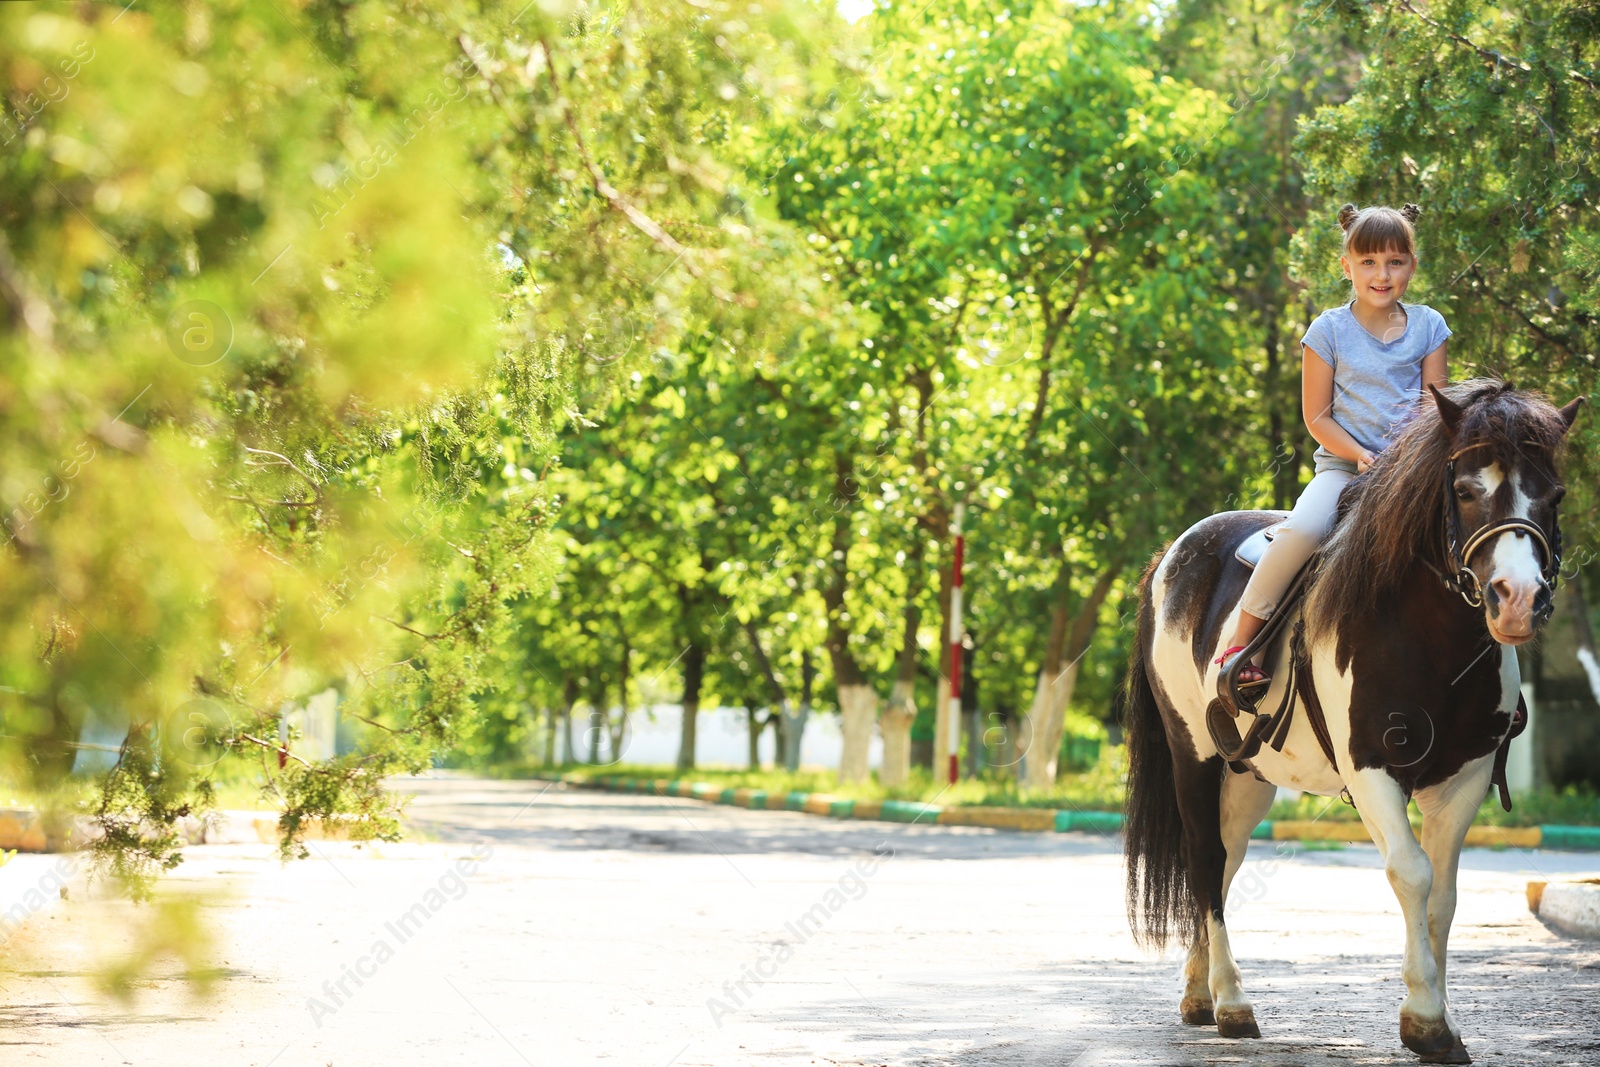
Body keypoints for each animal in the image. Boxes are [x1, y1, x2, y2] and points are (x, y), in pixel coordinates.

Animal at [1120, 379, 1580, 1062]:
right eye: (1466, 490)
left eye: (1554, 495)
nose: (1519, 601)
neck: (1428, 635)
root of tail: (1172, 557)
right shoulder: (1371, 769)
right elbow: (1411, 872)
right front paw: (1425, 1021)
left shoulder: (1466, 777)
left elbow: (1444, 893)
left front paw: (1442, 1021)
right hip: (1193, 757)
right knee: (1204, 858)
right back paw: (1231, 1003)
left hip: (1246, 775)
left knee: (1225, 862)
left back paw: (1200, 994)